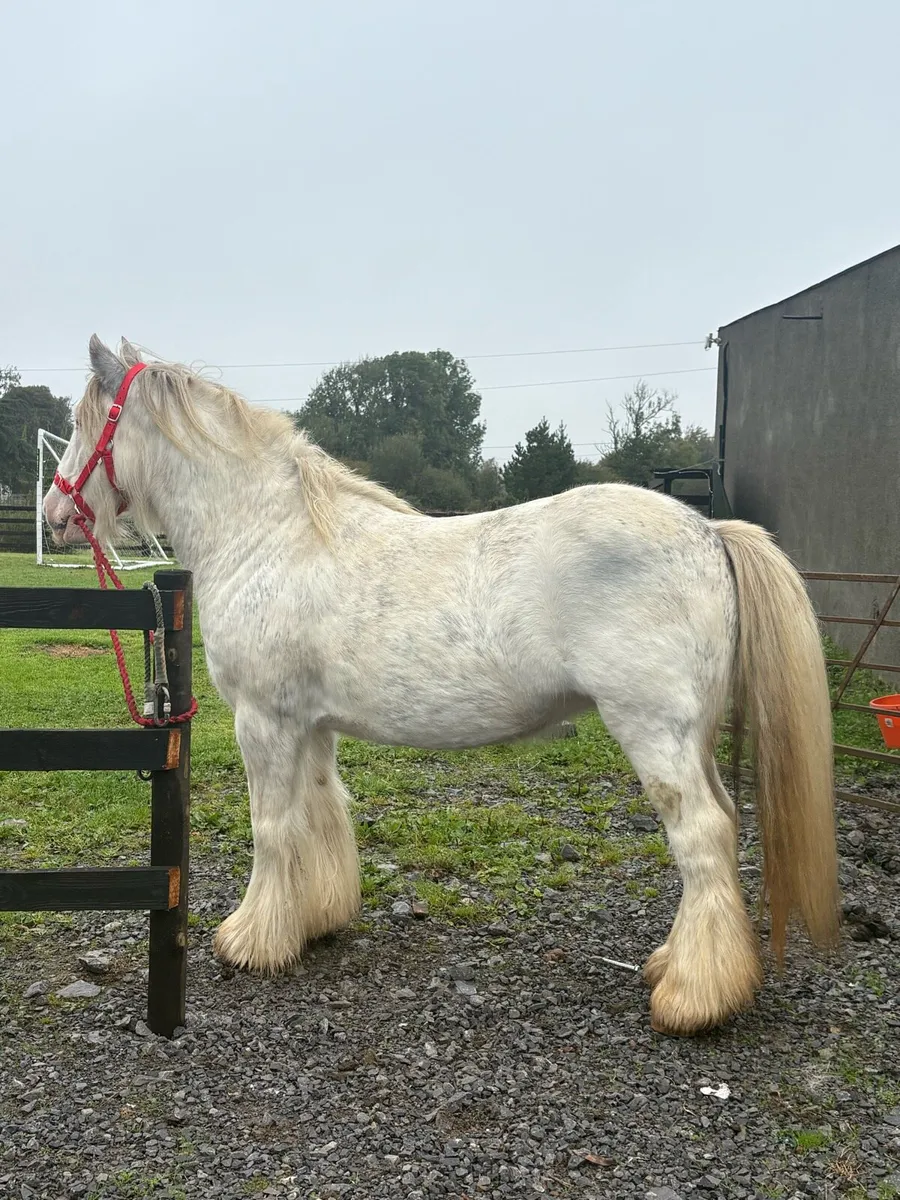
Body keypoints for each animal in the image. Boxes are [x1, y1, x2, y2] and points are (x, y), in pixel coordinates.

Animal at [44, 335, 840, 1036]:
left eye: (82, 423)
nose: (53, 514)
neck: (268, 534)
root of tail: (708, 533)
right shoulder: (311, 725)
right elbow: (321, 814)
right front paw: (316, 920)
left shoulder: (262, 720)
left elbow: (272, 827)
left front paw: (251, 940)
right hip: (692, 737)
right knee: (720, 832)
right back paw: (673, 964)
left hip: (654, 732)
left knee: (701, 835)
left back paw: (692, 998)